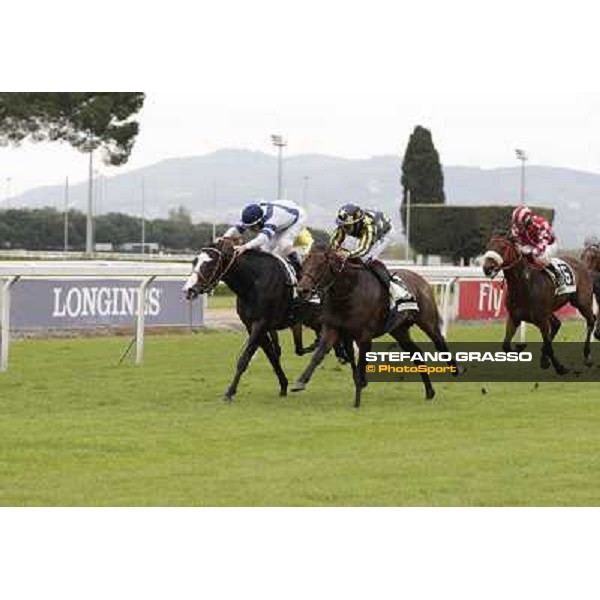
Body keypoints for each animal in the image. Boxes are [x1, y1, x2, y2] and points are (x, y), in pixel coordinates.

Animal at [482, 236, 596, 372]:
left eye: (503, 247)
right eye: (488, 246)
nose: (487, 268)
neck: (524, 284)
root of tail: (582, 263)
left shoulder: (542, 320)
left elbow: (549, 347)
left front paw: (560, 368)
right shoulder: (514, 318)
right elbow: (506, 346)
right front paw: (522, 347)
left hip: (582, 302)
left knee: (591, 320)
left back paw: (587, 356)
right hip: (550, 310)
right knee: (557, 324)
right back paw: (544, 358)